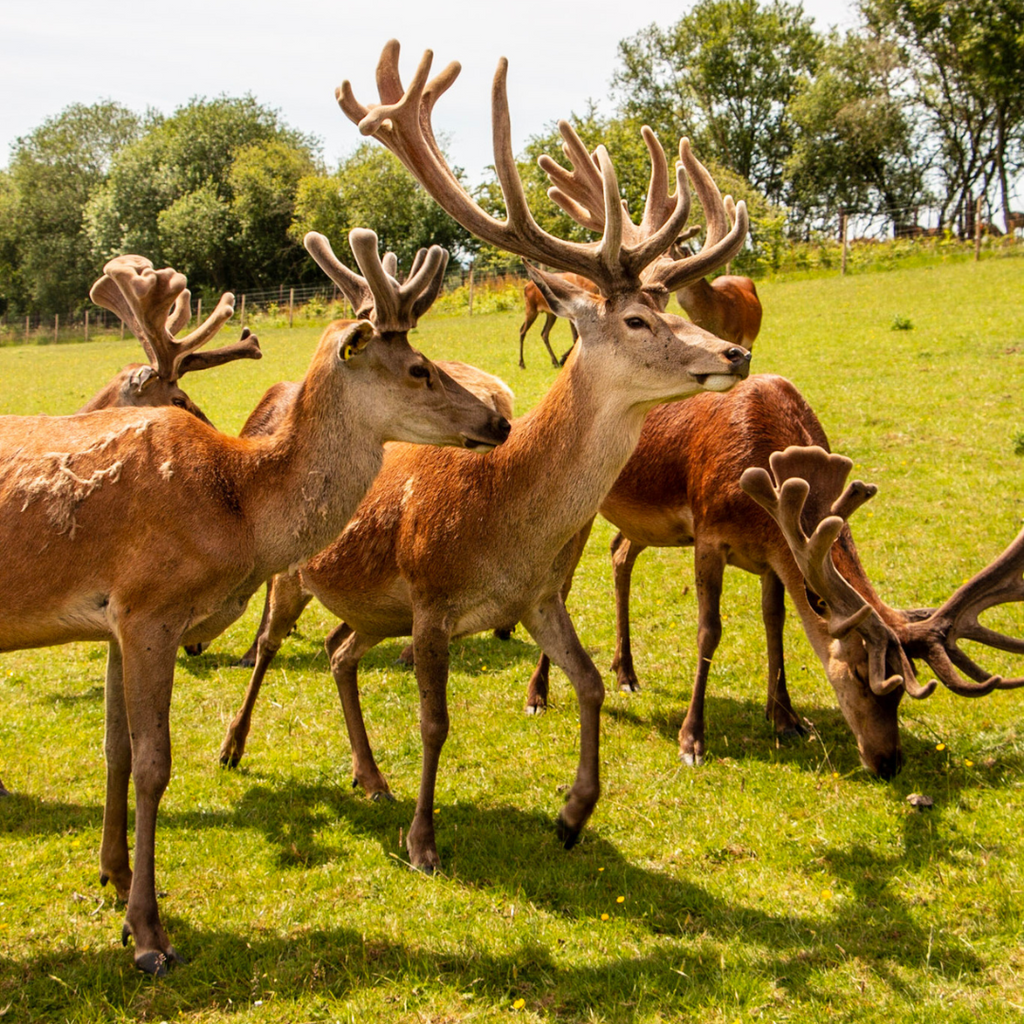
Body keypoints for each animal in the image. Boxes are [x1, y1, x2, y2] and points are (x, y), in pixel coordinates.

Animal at [0, 234, 509, 974]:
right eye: (420, 368)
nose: (499, 420)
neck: (236, 508)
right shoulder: (150, 607)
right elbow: (154, 764)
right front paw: (149, 934)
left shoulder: (113, 618)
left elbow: (116, 749)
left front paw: (114, 879)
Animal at [218, 39, 753, 872]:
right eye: (637, 320)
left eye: (671, 308)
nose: (734, 351)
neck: (503, 524)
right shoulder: (431, 600)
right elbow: (435, 723)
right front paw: (424, 842)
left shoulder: (535, 597)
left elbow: (590, 683)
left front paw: (573, 814)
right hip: (294, 577)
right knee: (273, 646)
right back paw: (236, 746)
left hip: (373, 609)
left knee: (340, 652)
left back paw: (370, 776)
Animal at [524, 376, 1024, 774]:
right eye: (861, 674)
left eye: (903, 690)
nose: (888, 763)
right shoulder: (709, 534)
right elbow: (709, 631)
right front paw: (692, 740)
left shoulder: (775, 556)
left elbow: (775, 623)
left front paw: (785, 717)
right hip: (579, 507)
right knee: (559, 586)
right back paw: (538, 694)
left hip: (643, 526)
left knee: (620, 554)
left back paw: (626, 671)